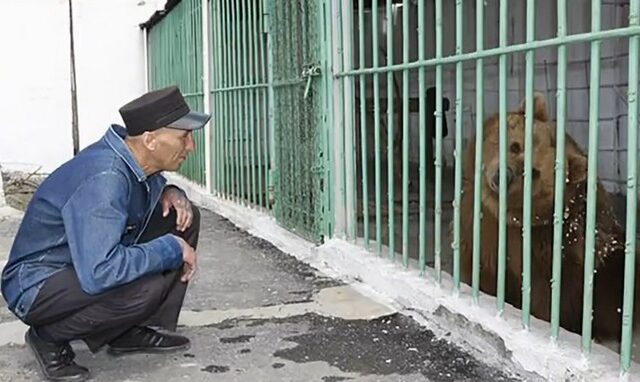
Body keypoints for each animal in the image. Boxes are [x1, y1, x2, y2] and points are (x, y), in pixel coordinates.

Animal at [460, 92, 640, 344]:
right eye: (515, 146)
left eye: (534, 172)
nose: (503, 176)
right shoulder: (476, 227)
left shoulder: (543, 253)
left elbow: (540, 296)